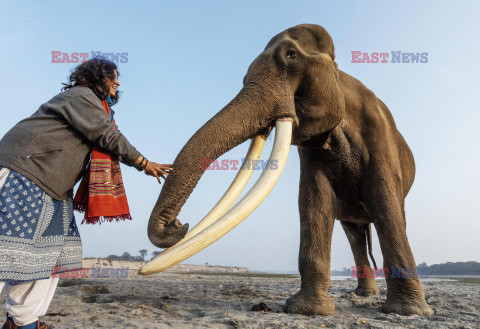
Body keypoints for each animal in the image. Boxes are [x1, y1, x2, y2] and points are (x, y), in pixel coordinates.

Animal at [140, 23, 436, 316]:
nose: (180, 225)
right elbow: (313, 201)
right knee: (353, 234)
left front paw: (408, 311)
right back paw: (365, 294)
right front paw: (307, 310)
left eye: (291, 56)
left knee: (390, 216)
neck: (338, 74)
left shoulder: (379, 136)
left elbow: (384, 201)